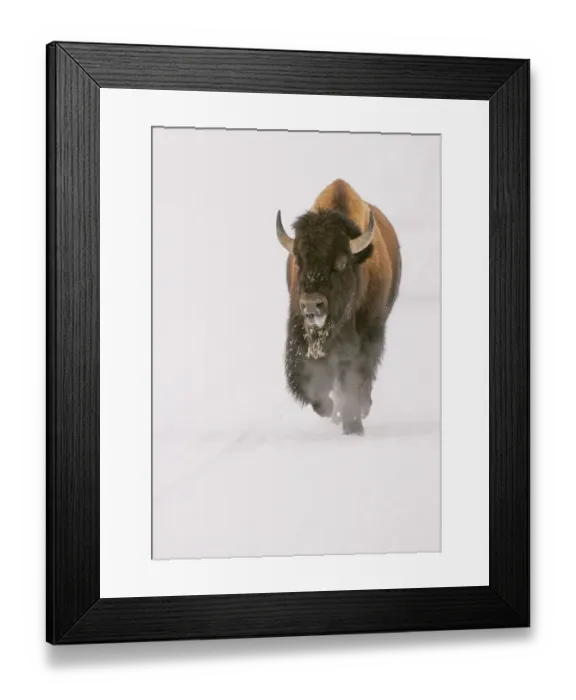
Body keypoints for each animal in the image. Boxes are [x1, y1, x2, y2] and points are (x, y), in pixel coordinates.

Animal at [276, 179, 402, 435]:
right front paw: (327, 408)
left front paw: (353, 425)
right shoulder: (300, 331)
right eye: (299, 261)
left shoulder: (368, 335)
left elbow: (356, 380)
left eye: (341, 262)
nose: (312, 304)